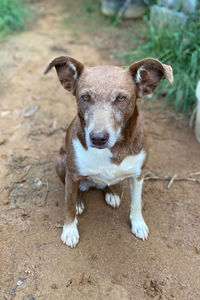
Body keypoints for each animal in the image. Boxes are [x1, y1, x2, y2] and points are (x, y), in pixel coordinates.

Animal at [44, 56, 173, 248]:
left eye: (121, 98)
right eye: (85, 97)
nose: (98, 138)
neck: (112, 149)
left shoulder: (138, 174)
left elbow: (136, 203)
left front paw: (138, 224)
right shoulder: (72, 174)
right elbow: (68, 205)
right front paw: (69, 230)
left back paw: (112, 193)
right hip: (61, 162)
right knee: (74, 192)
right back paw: (79, 201)